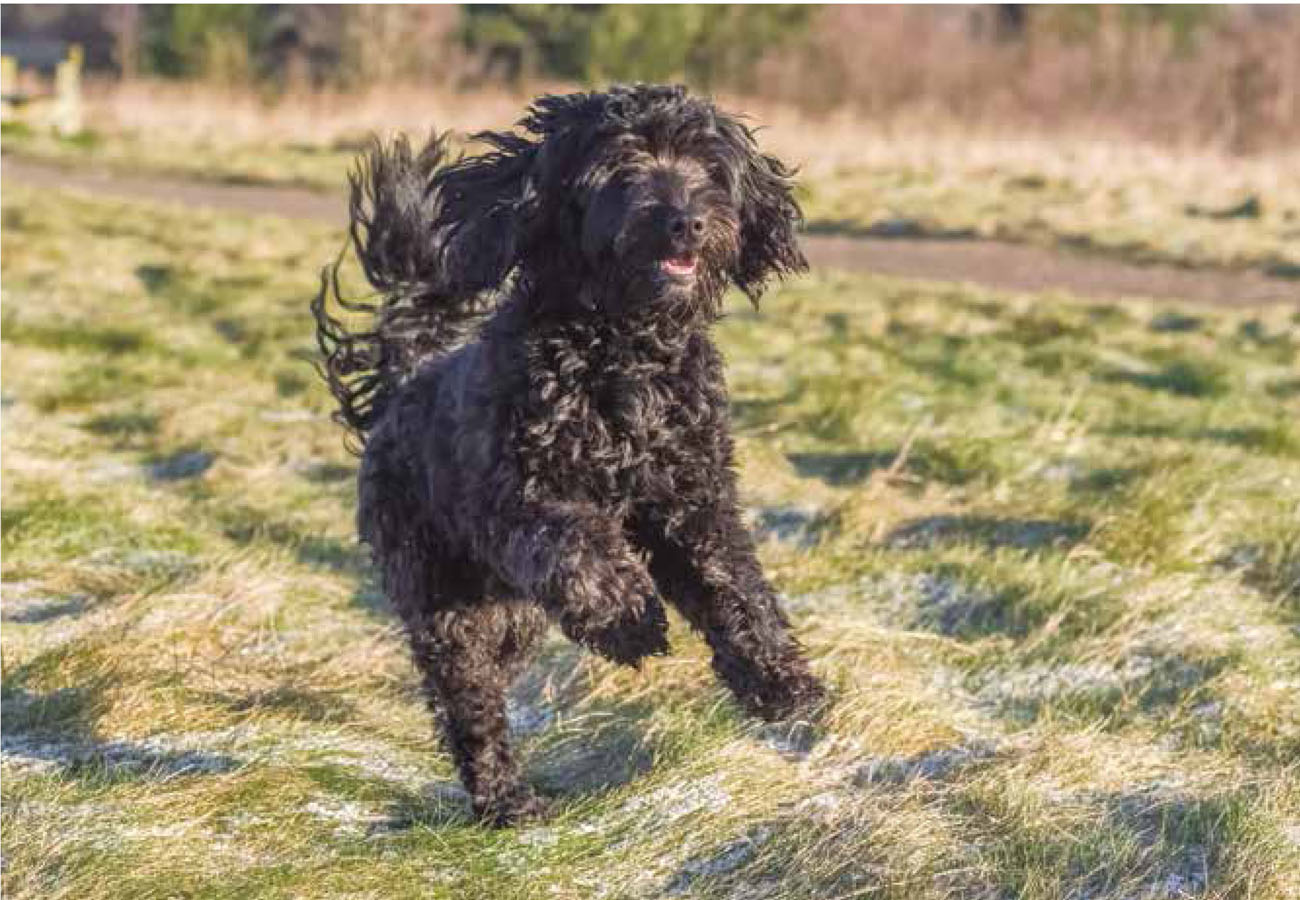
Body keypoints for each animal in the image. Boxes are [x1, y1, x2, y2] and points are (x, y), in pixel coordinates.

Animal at [313, 82, 821, 821]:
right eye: (623, 166)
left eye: (708, 167)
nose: (687, 222)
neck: (626, 352)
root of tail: (405, 380)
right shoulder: (517, 496)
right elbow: (576, 545)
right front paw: (628, 620)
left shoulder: (693, 498)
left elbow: (735, 582)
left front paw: (780, 680)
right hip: (441, 596)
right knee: (468, 701)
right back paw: (505, 799)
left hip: (511, 614)